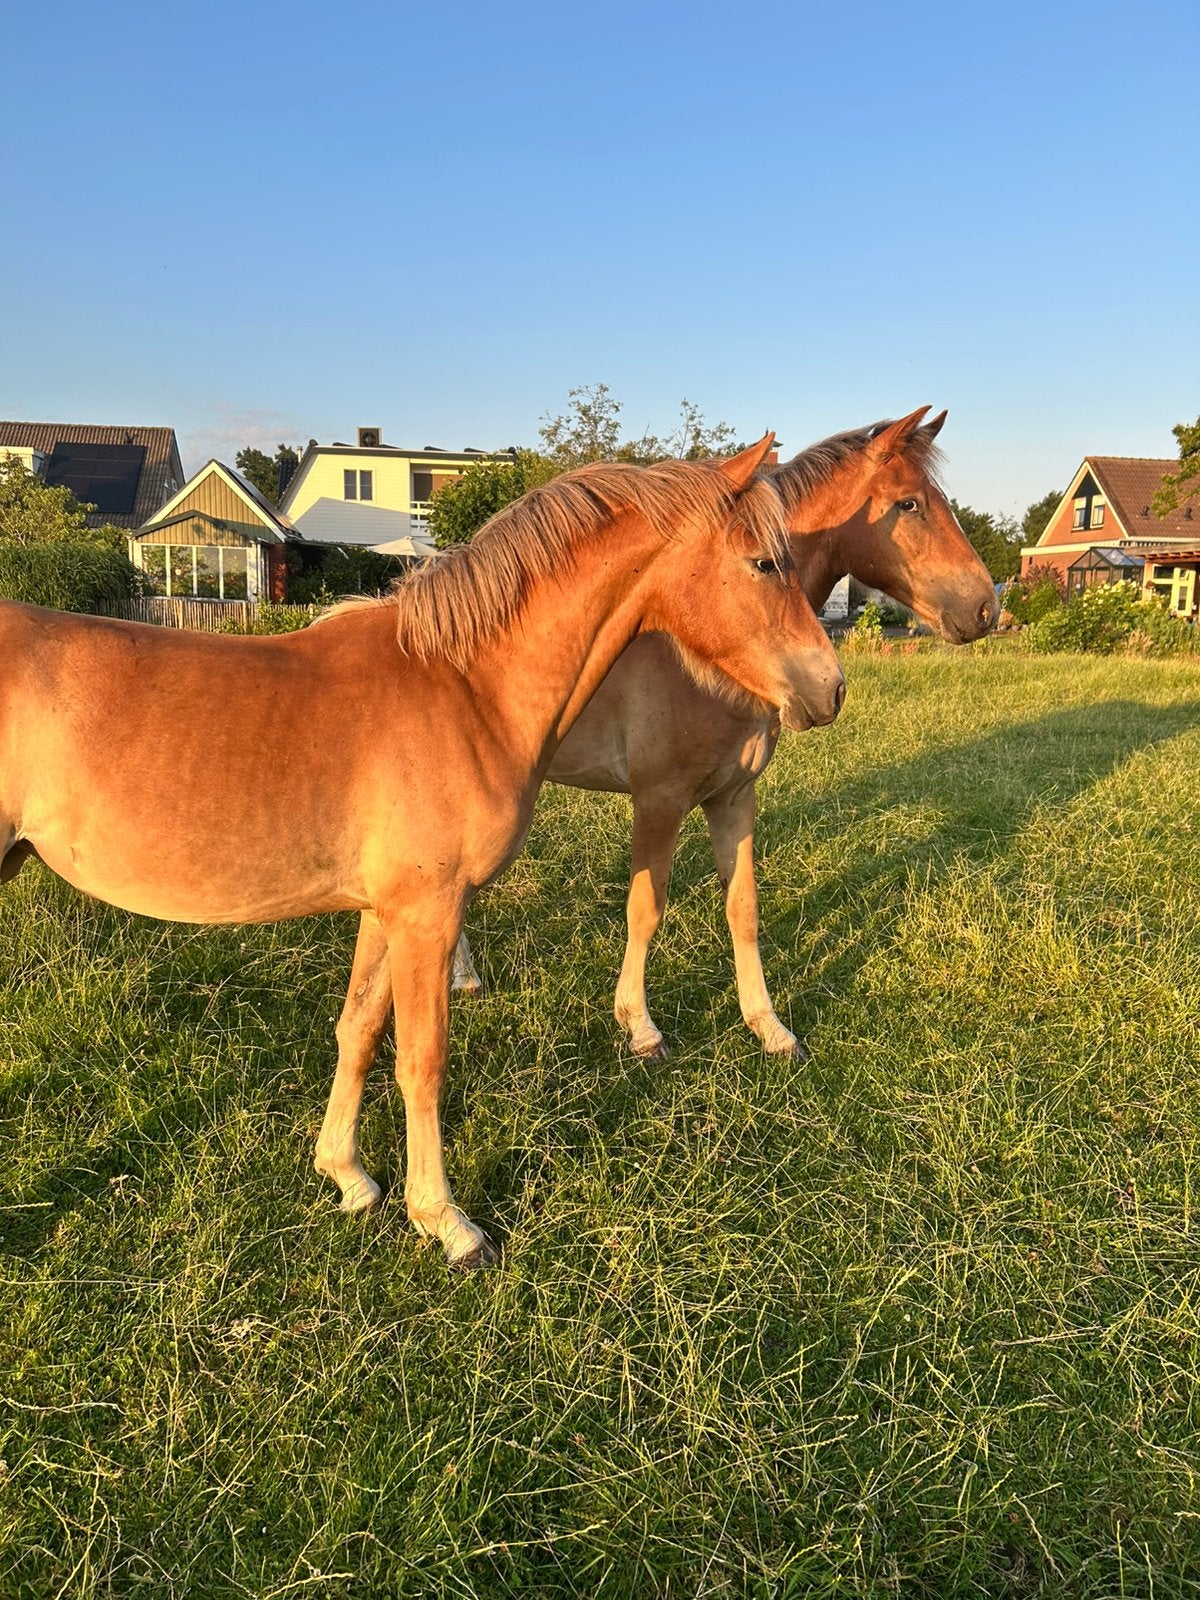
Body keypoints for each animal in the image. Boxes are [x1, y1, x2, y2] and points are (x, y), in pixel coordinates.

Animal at [0, 436, 846, 1269]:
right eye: (764, 562)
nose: (830, 688)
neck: (464, 687)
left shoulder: (385, 913)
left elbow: (359, 1032)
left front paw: (347, 1176)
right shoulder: (428, 916)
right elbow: (422, 1059)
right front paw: (446, 1222)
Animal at [452, 406, 996, 1059]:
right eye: (910, 503)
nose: (987, 608)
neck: (708, 661)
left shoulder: (734, 795)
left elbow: (743, 908)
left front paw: (768, 1026)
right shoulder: (658, 800)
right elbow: (646, 909)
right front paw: (639, 1025)